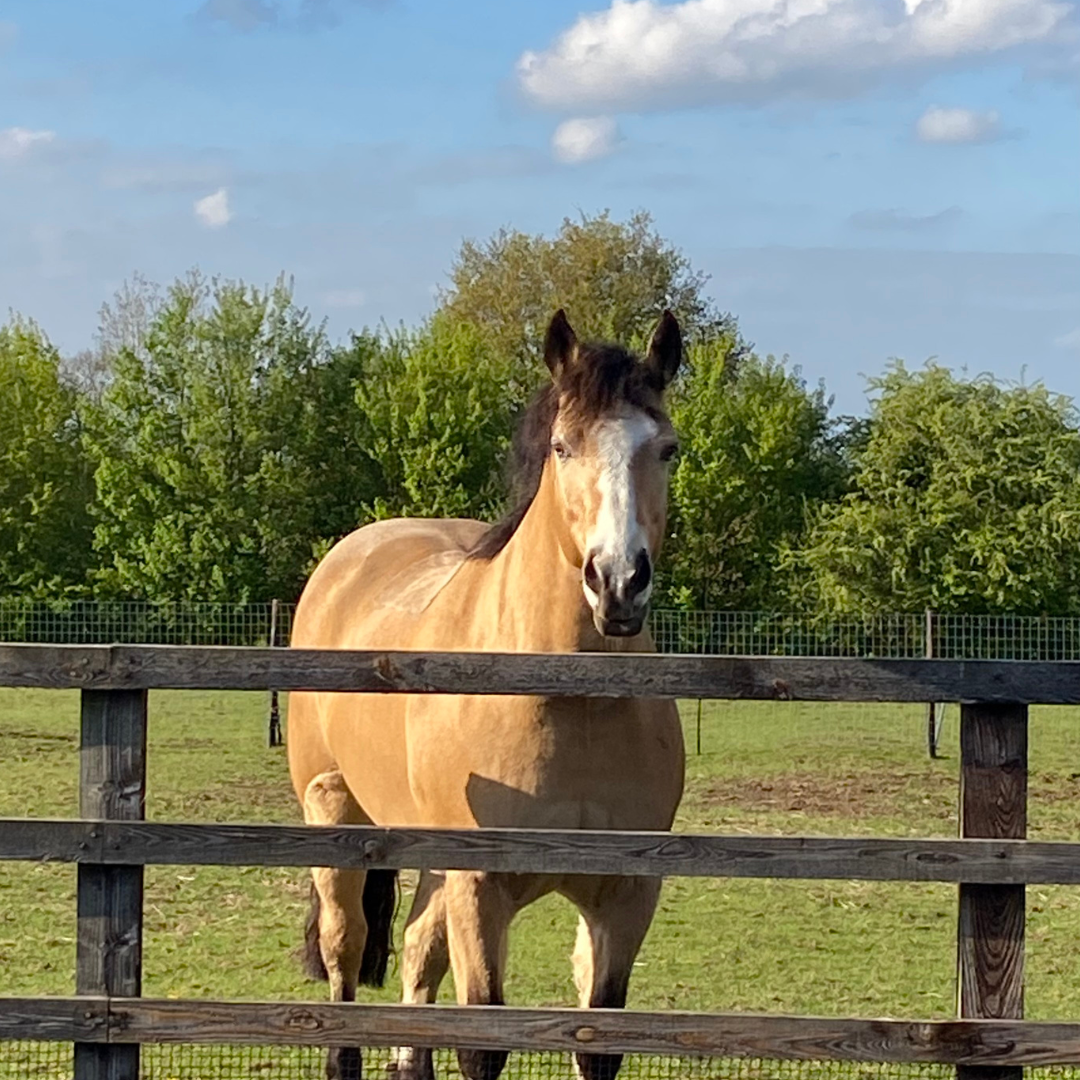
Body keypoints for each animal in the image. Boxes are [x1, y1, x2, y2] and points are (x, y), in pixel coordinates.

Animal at [287, 310, 687, 1080]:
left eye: (667, 449)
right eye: (563, 446)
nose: (619, 582)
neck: (571, 702)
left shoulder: (626, 894)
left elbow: (599, 1044)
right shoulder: (481, 885)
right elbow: (482, 1044)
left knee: (418, 951)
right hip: (336, 815)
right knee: (346, 951)